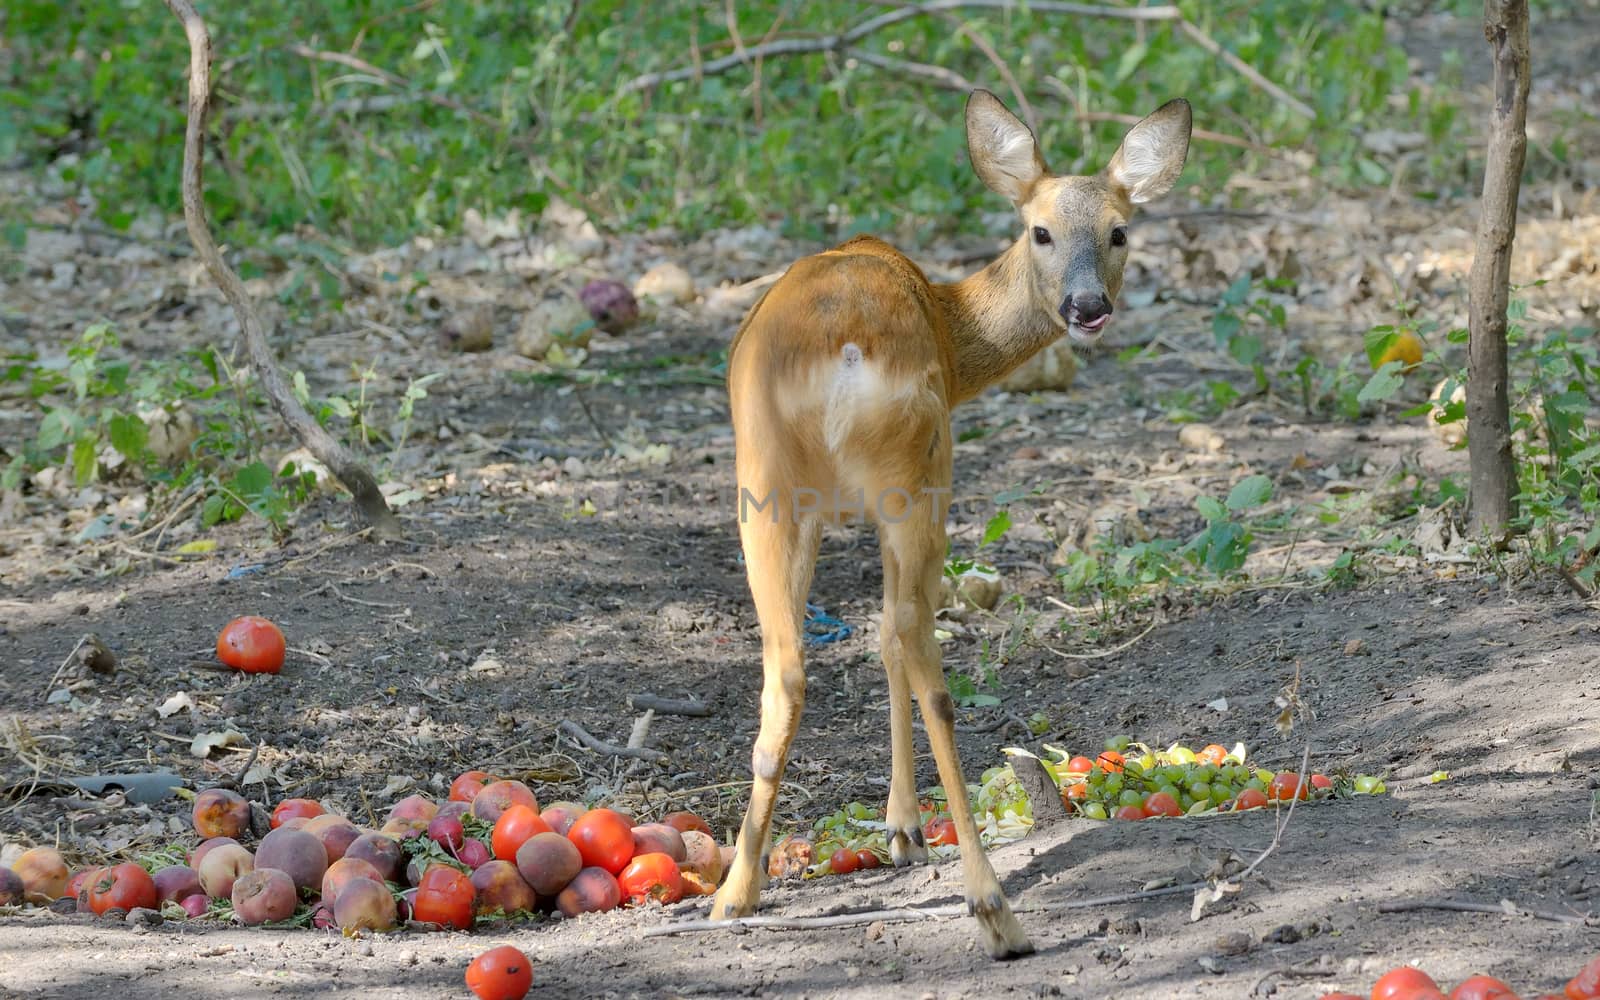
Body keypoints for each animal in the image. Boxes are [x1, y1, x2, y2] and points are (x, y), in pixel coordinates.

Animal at [713, 89, 1190, 953]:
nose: (1087, 307)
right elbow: (891, 638)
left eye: (1119, 230)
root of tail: (845, 352)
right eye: (1039, 229)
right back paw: (992, 905)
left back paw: (735, 890)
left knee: (789, 663)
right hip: (921, 472)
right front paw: (904, 831)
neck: (948, 318)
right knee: (917, 648)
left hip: (764, 485)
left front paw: (894, 830)